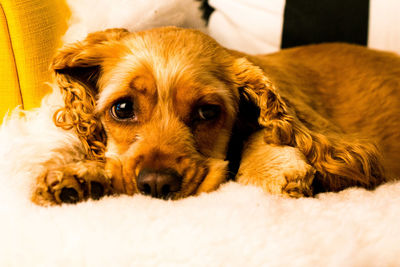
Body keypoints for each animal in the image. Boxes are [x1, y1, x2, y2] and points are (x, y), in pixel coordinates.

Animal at [31, 26, 400, 205]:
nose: (156, 183)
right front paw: (76, 177)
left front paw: (276, 168)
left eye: (207, 112)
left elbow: (264, 130)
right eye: (122, 108)